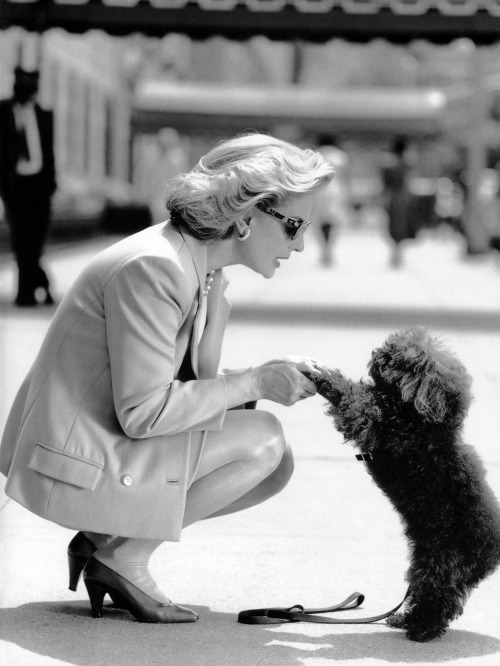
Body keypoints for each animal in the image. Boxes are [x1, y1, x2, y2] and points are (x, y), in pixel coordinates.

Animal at [312, 326, 500, 640]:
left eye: (403, 362)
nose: (378, 354)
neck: (422, 421)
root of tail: (492, 549)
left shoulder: (374, 421)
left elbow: (352, 397)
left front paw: (322, 375)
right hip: (427, 557)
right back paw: (406, 620)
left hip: (442, 562)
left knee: (440, 597)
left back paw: (422, 629)